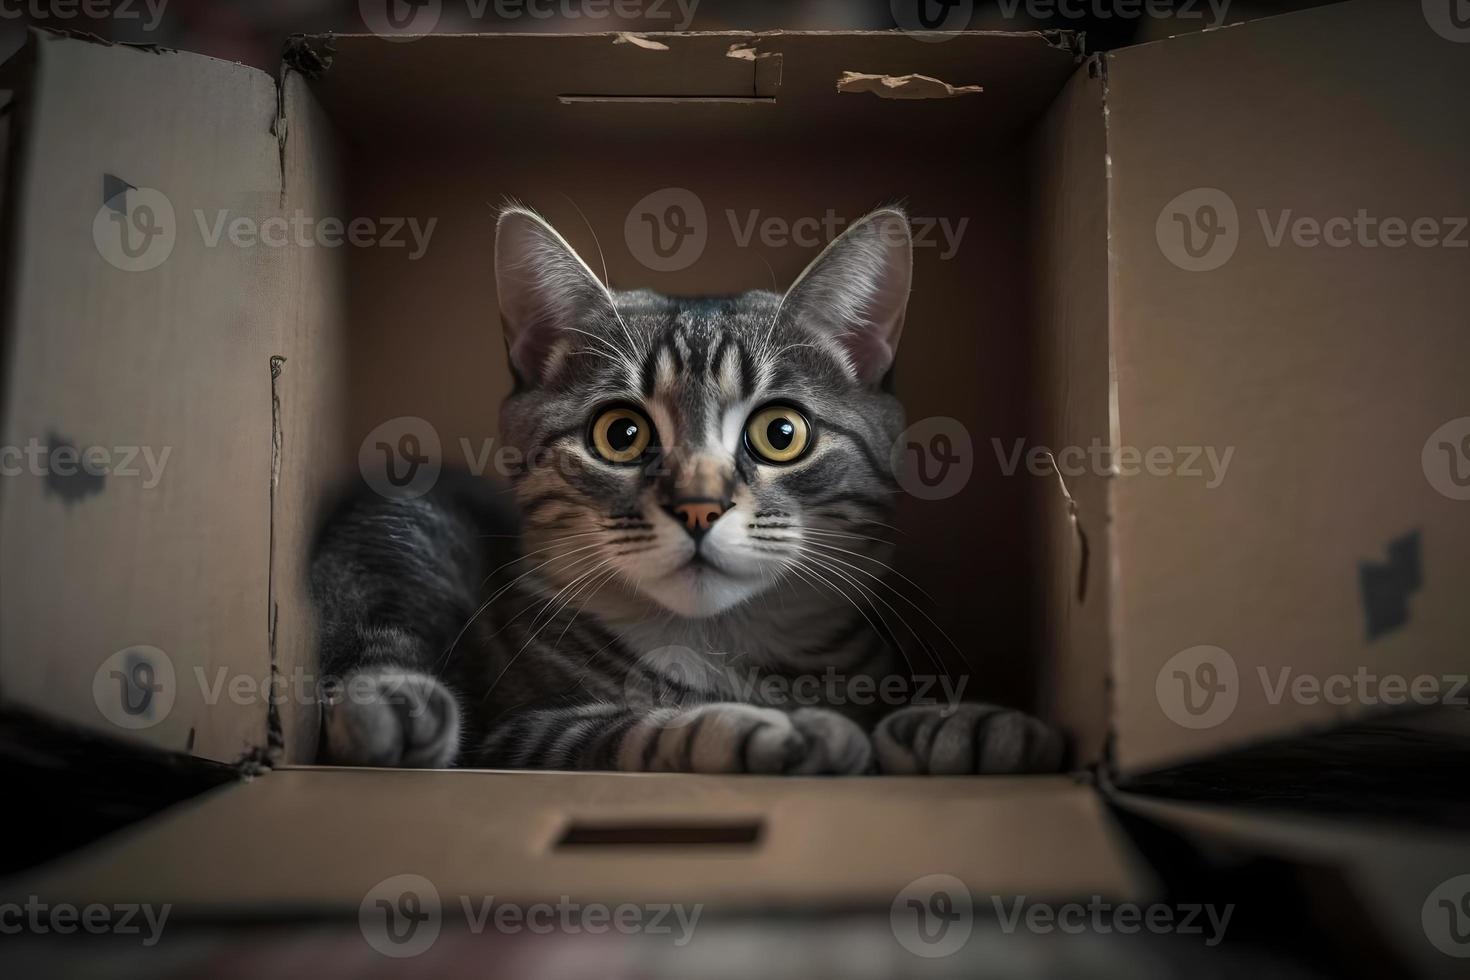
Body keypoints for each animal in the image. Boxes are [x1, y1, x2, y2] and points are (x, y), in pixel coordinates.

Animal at [316, 205, 1064, 775]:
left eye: (781, 433)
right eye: (619, 434)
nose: (698, 506)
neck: (727, 650)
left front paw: (970, 724)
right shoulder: (521, 734)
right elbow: (638, 729)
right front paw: (770, 728)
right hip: (406, 535)